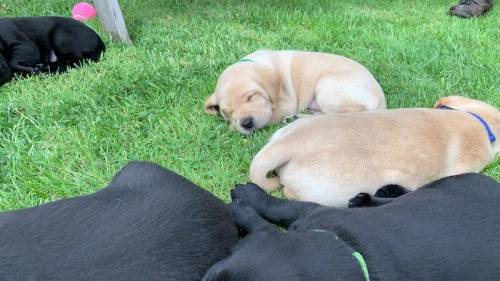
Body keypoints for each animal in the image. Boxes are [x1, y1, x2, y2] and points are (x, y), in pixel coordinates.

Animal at [205, 49, 384, 134]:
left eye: (251, 97)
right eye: (227, 113)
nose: (246, 123)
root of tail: (382, 102)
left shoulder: (286, 104)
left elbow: (270, 117)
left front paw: (232, 128)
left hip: (327, 88)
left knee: (344, 115)